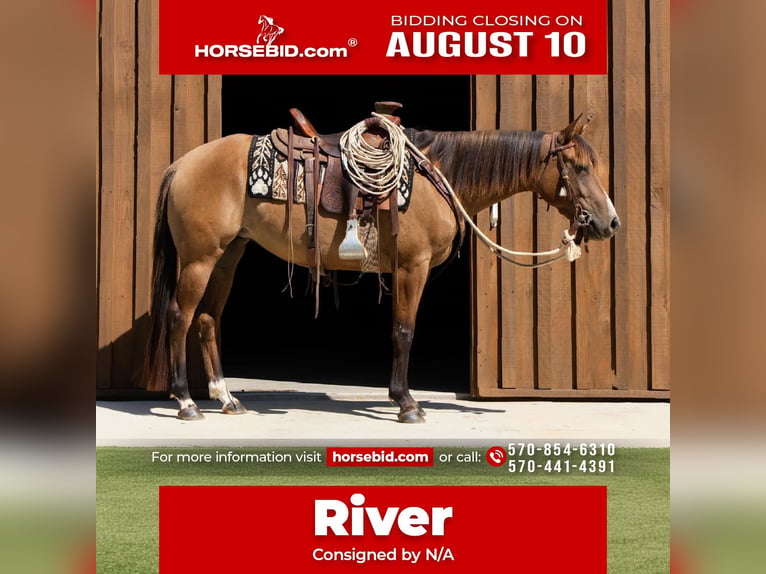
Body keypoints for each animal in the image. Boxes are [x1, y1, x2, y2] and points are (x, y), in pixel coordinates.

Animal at [143, 113, 620, 423]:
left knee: (207, 319)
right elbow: (404, 331)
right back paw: (186, 403)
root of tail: (182, 163)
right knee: (179, 318)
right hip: (200, 258)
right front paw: (407, 404)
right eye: (579, 167)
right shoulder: (413, 267)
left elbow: (399, 330)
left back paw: (226, 398)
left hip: (228, 254)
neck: (438, 174)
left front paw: (399, 398)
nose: (610, 222)